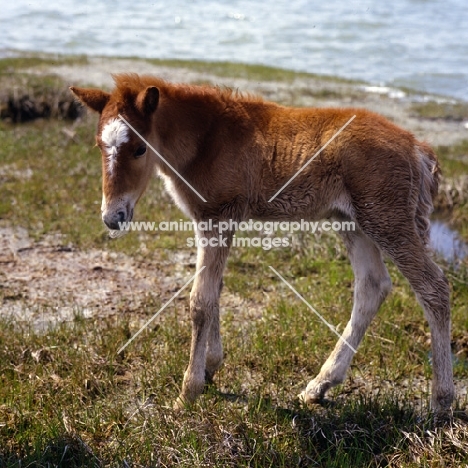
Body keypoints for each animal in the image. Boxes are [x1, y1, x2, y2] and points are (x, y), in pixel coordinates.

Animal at [71, 75, 456, 418]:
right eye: (99, 146)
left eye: (140, 148)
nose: (113, 217)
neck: (207, 139)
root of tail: (418, 148)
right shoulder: (217, 223)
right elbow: (216, 290)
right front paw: (211, 367)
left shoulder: (216, 217)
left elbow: (200, 300)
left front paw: (188, 392)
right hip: (353, 223)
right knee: (372, 286)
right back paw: (320, 385)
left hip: (387, 220)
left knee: (433, 287)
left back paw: (441, 402)